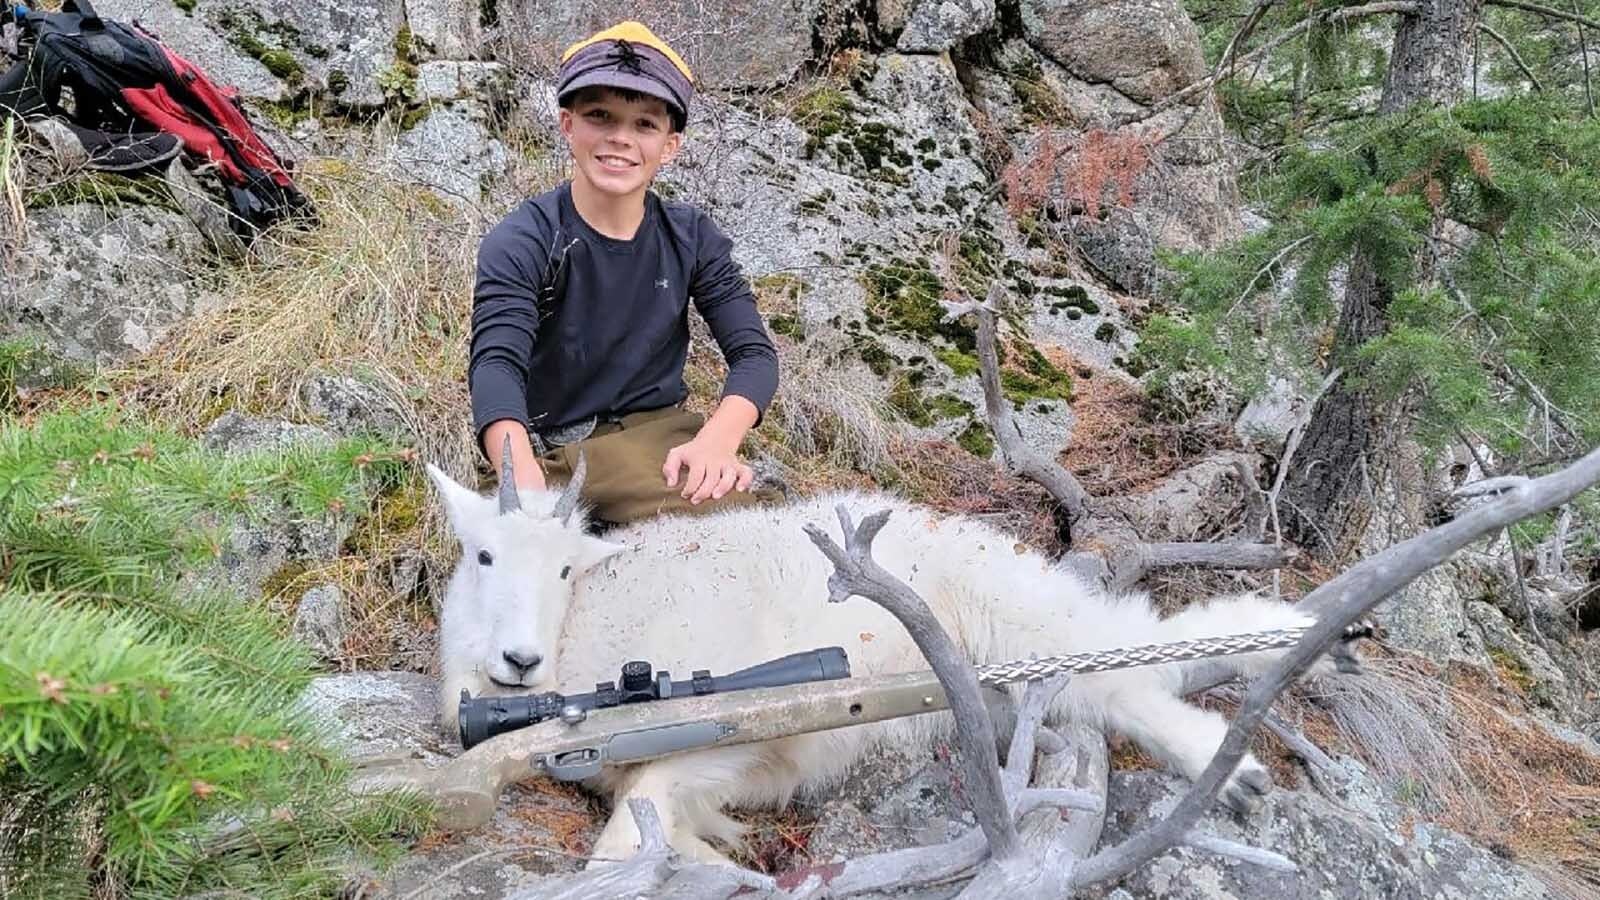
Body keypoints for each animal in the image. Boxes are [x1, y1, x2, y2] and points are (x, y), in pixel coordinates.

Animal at [425, 454, 1350, 864]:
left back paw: (1243, 754)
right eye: (482, 556)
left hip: (1007, 609)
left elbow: (626, 833)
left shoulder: (730, 735)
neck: (589, 626)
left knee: (1121, 661)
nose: (518, 660)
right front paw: (719, 849)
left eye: (563, 569)